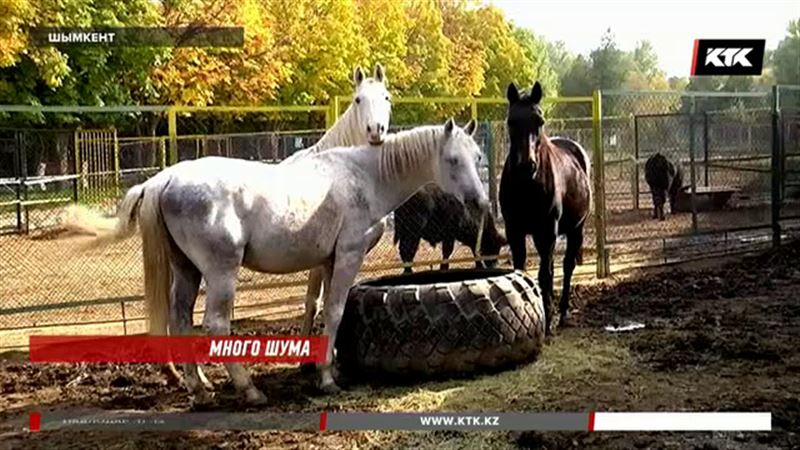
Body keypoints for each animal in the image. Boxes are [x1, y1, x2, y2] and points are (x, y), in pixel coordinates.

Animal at [500, 81, 592, 334]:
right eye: (511, 121)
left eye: (539, 121)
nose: (526, 166)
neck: (527, 187)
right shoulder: (514, 230)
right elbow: (521, 271)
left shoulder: (548, 231)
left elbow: (545, 275)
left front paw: (547, 320)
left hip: (575, 229)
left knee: (567, 266)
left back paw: (562, 313)